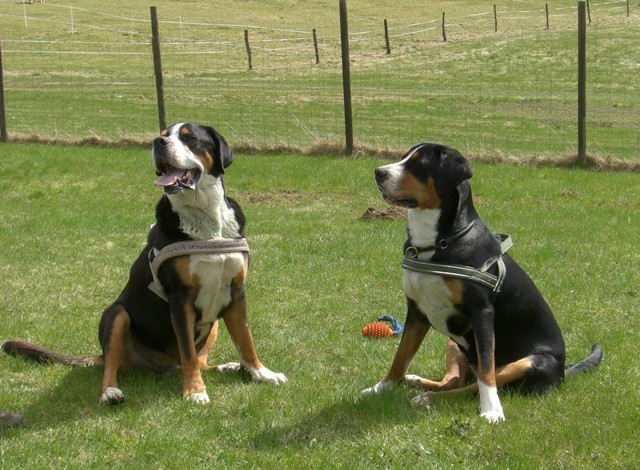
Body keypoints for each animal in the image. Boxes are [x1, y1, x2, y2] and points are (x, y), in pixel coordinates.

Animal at [2, 122, 287, 405]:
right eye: (163, 136)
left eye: (189, 138)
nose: (158, 143)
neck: (206, 224)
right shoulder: (180, 297)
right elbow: (188, 350)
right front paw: (195, 391)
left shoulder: (235, 292)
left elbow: (245, 339)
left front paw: (261, 372)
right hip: (117, 314)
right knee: (113, 364)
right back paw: (110, 391)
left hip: (213, 323)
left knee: (200, 360)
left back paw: (227, 367)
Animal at [363, 142, 602, 422]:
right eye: (403, 157)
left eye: (418, 164)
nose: (378, 172)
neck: (438, 243)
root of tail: (565, 371)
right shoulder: (417, 312)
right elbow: (400, 358)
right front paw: (382, 387)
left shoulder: (482, 314)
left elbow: (487, 375)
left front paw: (491, 410)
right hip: (454, 345)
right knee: (455, 381)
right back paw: (419, 383)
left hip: (530, 362)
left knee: (475, 385)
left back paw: (430, 398)